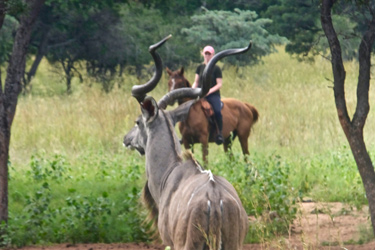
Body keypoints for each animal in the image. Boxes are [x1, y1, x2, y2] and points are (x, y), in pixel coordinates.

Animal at [125, 35, 251, 250]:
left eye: (138, 121)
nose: (126, 139)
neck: (169, 173)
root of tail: (214, 199)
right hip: (233, 244)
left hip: (188, 244)